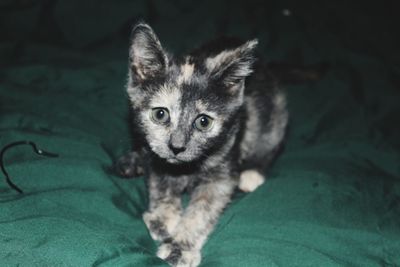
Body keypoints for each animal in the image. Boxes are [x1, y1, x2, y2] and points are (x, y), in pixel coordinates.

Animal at [115, 23, 288, 267]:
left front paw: (179, 248)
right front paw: (163, 218)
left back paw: (252, 174)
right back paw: (133, 160)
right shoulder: (158, 158)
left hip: (274, 117)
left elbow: (201, 212)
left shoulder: (222, 175)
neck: (186, 169)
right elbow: (160, 183)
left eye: (204, 121)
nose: (177, 146)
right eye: (160, 114)